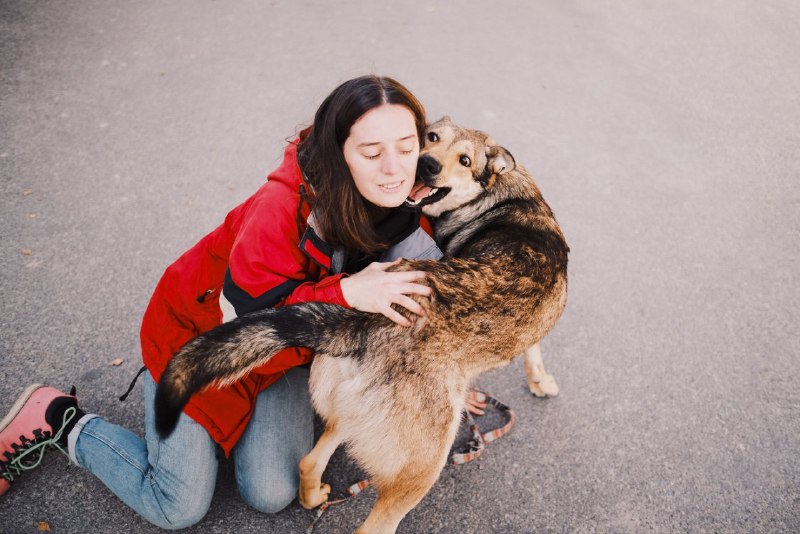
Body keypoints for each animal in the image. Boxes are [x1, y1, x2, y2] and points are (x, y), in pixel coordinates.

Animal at [155, 117, 568, 532]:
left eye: (465, 160)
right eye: (432, 138)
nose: (426, 164)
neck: (500, 197)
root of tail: (361, 320)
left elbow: (532, 345)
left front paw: (539, 378)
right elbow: (533, 345)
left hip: (350, 411)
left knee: (308, 461)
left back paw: (314, 495)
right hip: (422, 466)